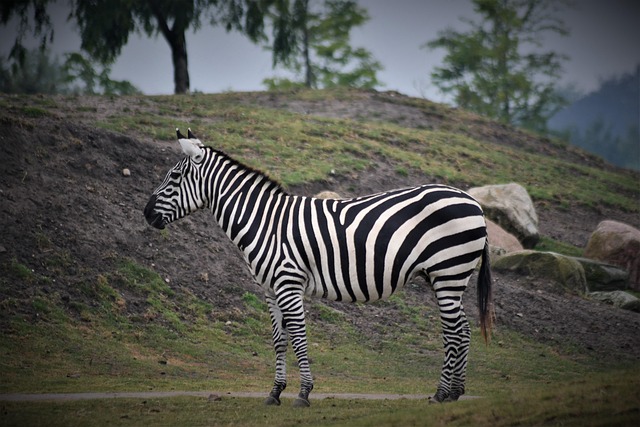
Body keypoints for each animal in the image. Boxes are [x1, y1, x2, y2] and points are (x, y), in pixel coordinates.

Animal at [144, 128, 493, 407]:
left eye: (173, 178)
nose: (145, 213)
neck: (265, 223)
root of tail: (473, 202)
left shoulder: (288, 283)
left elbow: (298, 336)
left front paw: (303, 394)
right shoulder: (270, 290)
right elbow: (278, 340)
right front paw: (274, 393)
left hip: (448, 272)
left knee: (454, 332)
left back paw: (441, 394)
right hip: (449, 276)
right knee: (463, 330)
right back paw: (455, 393)